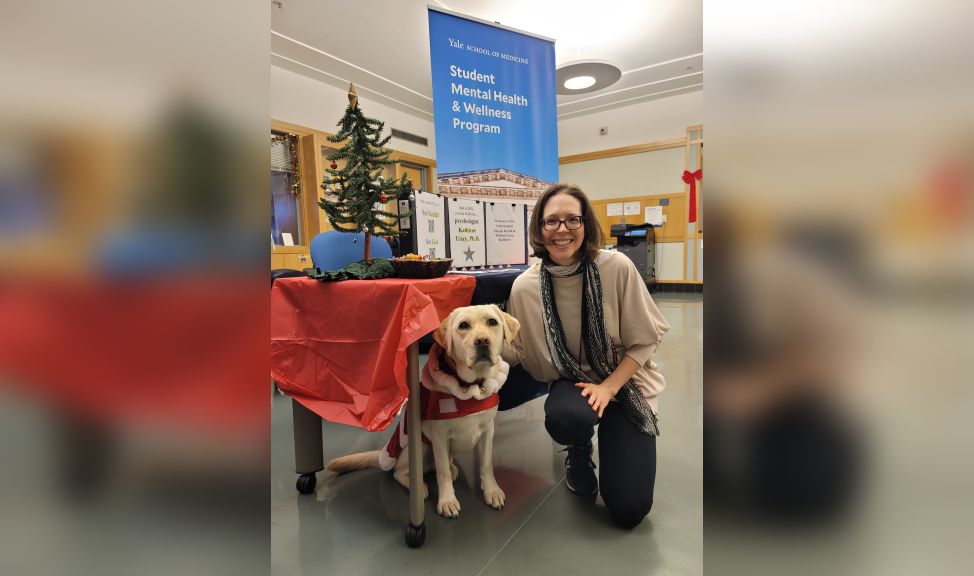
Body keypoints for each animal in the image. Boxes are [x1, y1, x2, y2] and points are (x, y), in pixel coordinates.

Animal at [326, 304, 520, 520]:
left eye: (492, 322)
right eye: (463, 325)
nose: (482, 341)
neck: (470, 387)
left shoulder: (487, 431)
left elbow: (486, 465)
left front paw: (492, 492)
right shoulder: (439, 436)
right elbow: (442, 473)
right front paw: (447, 501)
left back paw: (452, 468)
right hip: (419, 445)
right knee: (401, 472)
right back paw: (419, 486)